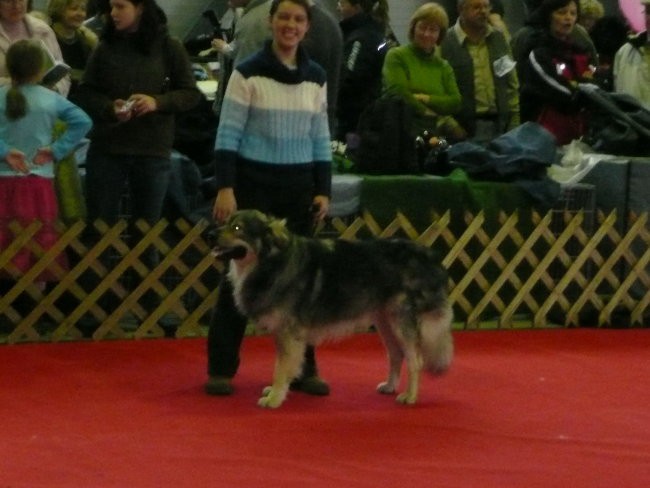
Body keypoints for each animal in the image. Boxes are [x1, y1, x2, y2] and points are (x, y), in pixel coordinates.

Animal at [210, 210, 454, 408]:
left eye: (237, 228)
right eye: (226, 222)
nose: (211, 233)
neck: (272, 262)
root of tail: (430, 257)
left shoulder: (288, 332)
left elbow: (281, 367)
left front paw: (274, 398)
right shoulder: (283, 333)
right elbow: (284, 366)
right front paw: (277, 391)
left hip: (401, 319)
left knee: (415, 360)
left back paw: (410, 396)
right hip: (384, 320)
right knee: (395, 354)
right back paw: (390, 386)